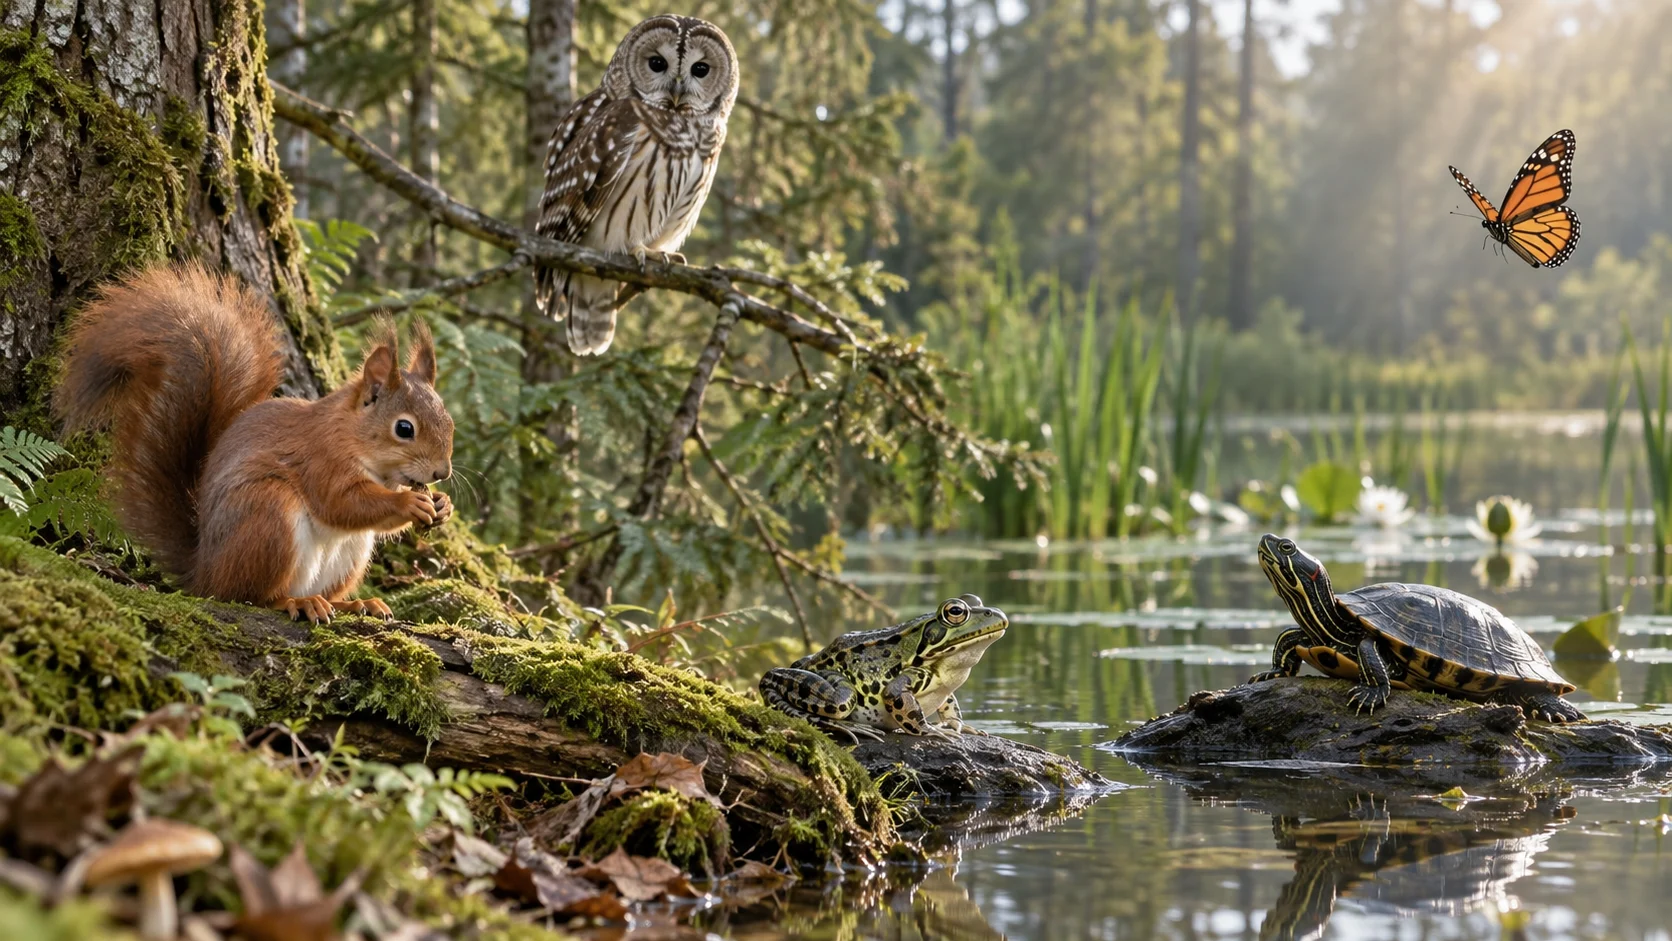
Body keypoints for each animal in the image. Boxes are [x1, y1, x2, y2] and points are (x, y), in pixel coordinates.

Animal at [53, 264, 455, 623]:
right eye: (404, 428)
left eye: (449, 421)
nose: (443, 473)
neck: (353, 437)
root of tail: (204, 572)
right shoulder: (320, 459)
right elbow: (342, 504)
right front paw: (408, 503)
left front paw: (442, 505)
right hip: (268, 514)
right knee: (250, 596)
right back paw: (297, 603)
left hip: (351, 553)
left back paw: (355, 604)